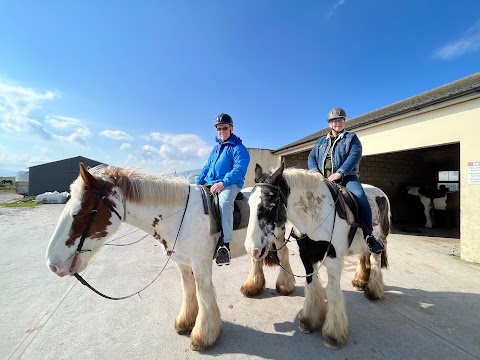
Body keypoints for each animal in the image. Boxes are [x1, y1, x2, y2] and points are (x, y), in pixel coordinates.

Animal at [46, 165, 292, 350]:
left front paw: (204, 336)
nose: (52, 264)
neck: (180, 215)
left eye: (82, 212)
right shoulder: (183, 262)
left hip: (278, 236)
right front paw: (185, 322)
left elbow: (204, 295)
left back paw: (285, 286)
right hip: (257, 244)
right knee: (256, 258)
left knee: (284, 255)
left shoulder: (201, 264)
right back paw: (253, 286)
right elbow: (189, 291)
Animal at [244, 165, 390, 348]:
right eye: (249, 204)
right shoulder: (306, 256)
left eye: (270, 205)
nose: (252, 249)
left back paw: (373, 291)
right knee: (363, 257)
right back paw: (360, 281)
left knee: (375, 261)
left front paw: (333, 335)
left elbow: (332, 292)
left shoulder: (334, 260)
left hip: (379, 241)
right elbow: (312, 285)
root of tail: (381, 193)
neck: (316, 217)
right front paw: (309, 321)